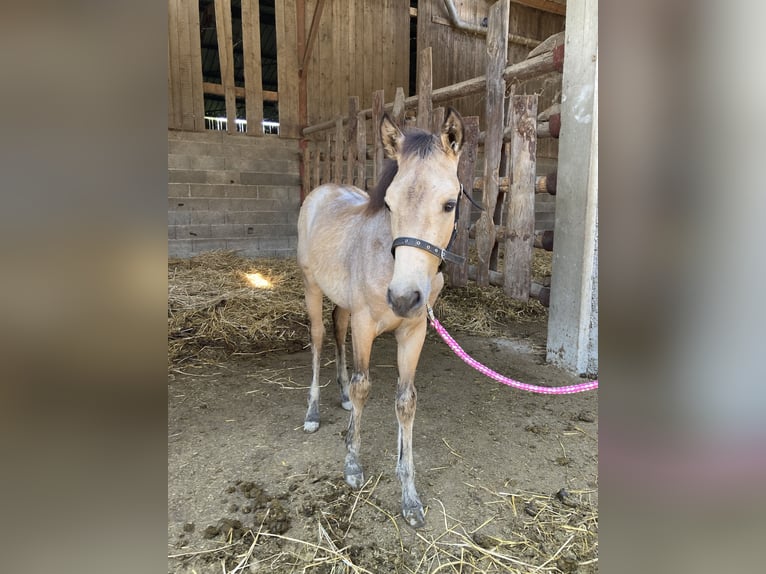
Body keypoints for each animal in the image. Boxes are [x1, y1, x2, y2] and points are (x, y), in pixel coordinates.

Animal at [296, 110, 464, 528]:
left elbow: (405, 401)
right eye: (388, 203)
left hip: (343, 304)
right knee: (319, 338)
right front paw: (352, 464)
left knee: (337, 331)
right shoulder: (365, 325)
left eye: (449, 204)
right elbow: (364, 387)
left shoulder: (414, 331)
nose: (403, 296)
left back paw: (339, 398)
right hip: (311, 288)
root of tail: (323, 191)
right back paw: (313, 412)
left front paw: (410, 498)